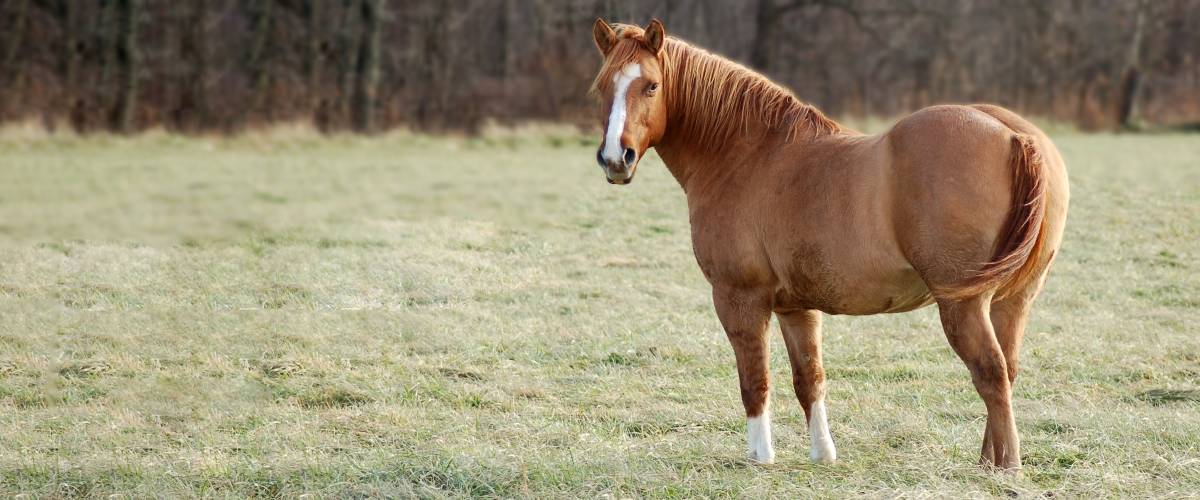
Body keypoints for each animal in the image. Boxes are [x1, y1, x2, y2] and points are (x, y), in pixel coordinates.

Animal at [590, 16, 1070, 467]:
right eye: (601, 87)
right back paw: (989, 461)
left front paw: (760, 456)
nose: (616, 159)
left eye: (651, 85)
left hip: (964, 304)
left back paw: (1006, 468)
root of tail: (1013, 135)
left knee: (990, 374)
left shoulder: (739, 298)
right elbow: (810, 379)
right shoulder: (796, 306)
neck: (748, 154)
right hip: (1013, 301)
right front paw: (823, 454)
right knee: (1007, 370)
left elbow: (754, 380)